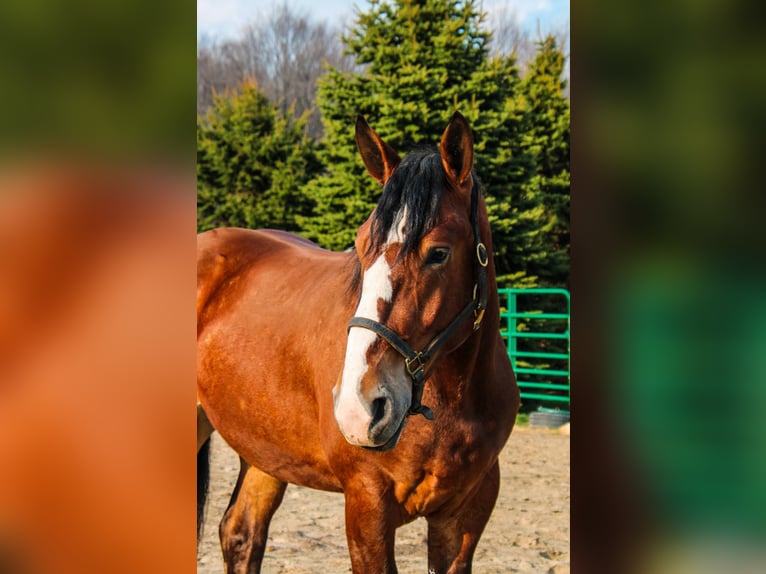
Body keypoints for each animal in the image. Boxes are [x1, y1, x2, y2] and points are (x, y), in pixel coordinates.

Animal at [197, 112, 519, 573]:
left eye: (438, 252)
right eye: (362, 245)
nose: (360, 407)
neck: (449, 403)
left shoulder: (465, 515)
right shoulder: (367, 503)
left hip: (265, 452)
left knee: (241, 533)